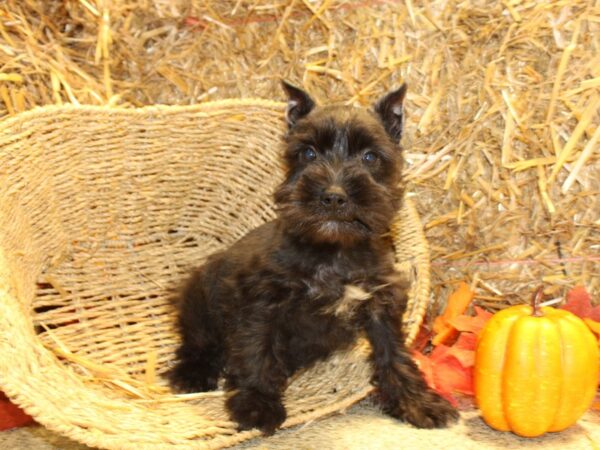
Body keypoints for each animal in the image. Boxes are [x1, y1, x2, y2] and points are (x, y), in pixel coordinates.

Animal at [169, 82, 460, 434]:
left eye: (370, 157)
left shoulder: (380, 302)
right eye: (308, 153)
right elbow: (257, 350)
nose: (333, 196)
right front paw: (257, 404)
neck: (334, 252)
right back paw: (191, 374)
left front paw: (416, 402)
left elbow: (395, 354)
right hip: (199, 303)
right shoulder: (262, 302)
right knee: (198, 343)